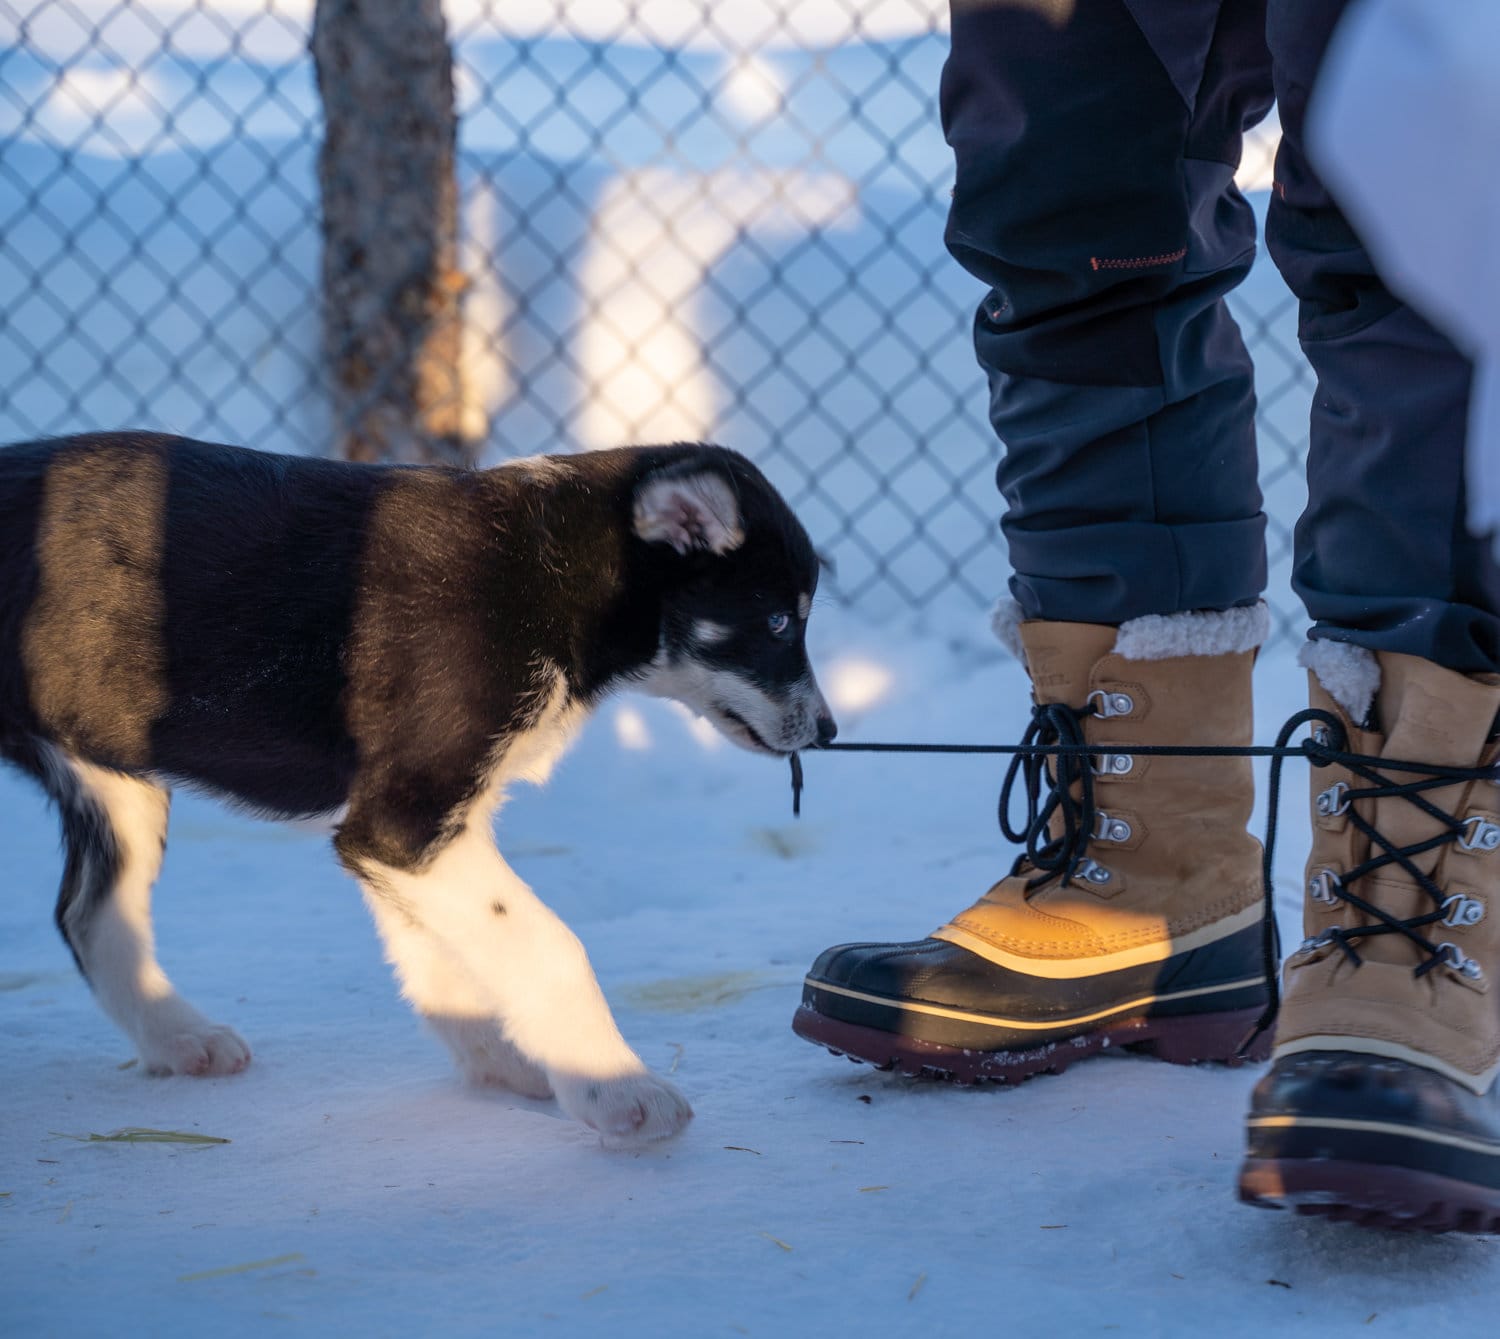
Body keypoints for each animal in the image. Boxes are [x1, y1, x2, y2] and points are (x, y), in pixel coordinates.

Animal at [0, 434, 834, 1145]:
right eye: (777, 620)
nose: (827, 729)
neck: (548, 574)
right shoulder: (407, 822)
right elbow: (547, 945)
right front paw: (618, 1090)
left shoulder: (407, 834)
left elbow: (439, 956)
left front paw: (503, 1060)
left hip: (114, 779)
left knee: (89, 916)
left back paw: (181, 1040)